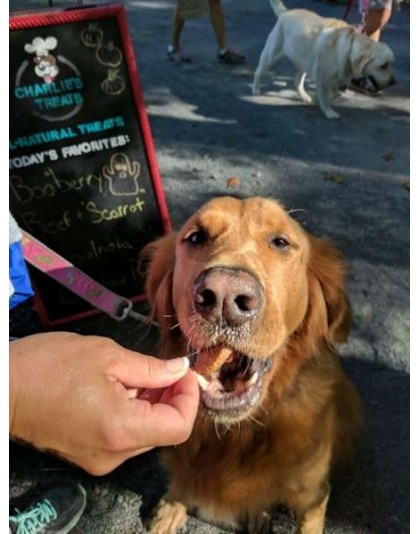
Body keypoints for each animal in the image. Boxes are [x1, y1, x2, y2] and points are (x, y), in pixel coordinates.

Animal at [143, 198, 362, 534]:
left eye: (280, 242)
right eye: (196, 237)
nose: (223, 297)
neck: (235, 434)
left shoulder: (313, 496)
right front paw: (171, 506)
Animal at [251, 0, 396, 118]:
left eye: (390, 64)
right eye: (383, 65)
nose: (393, 82)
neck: (350, 44)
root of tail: (286, 12)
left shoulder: (334, 78)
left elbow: (334, 93)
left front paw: (320, 100)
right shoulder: (321, 77)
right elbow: (325, 96)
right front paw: (328, 111)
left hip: (304, 60)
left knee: (297, 81)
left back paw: (305, 97)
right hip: (271, 55)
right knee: (258, 71)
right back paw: (255, 89)